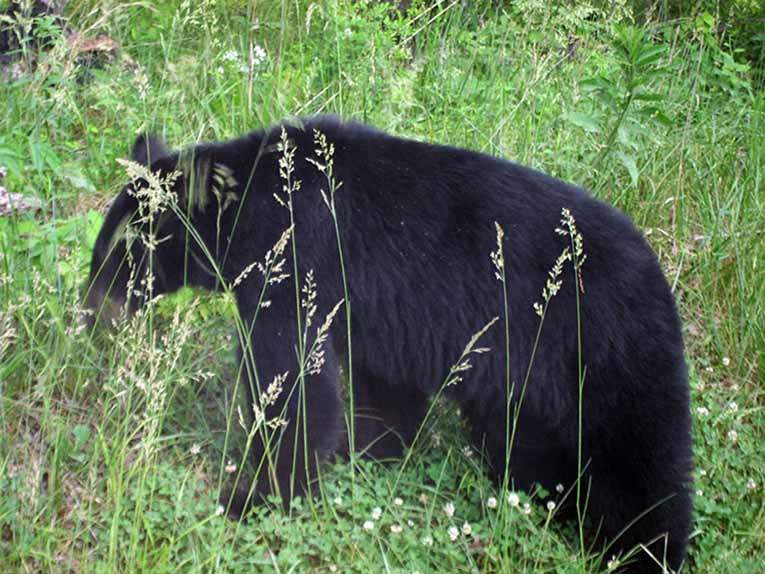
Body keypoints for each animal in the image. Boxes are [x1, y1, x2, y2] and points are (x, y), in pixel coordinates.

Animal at [85, 115, 692, 572]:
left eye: (121, 255)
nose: (89, 317)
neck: (252, 202)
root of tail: (661, 278)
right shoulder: (376, 313)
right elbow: (384, 389)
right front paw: (369, 454)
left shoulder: (297, 261)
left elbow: (295, 382)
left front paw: (252, 497)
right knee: (533, 448)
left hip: (603, 351)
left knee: (641, 461)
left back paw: (643, 553)